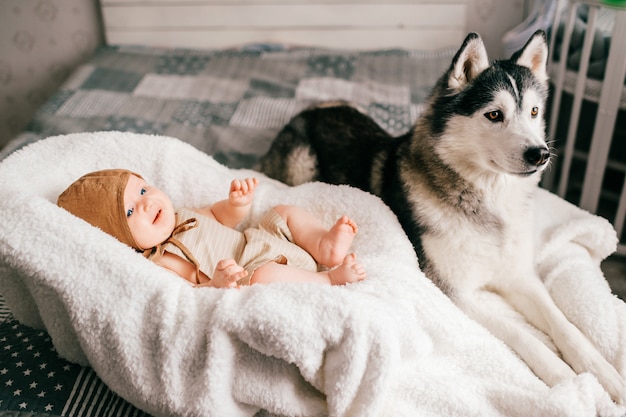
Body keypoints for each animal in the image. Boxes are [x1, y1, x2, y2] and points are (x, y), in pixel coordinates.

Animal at [260, 30, 624, 402]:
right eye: (494, 115)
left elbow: (564, 324)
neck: (488, 201)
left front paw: (603, 372)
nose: (540, 154)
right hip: (301, 166)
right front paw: (563, 376)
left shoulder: (519, 276)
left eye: (534, 111)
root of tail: (311, 109)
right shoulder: (454, 293)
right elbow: (522, 334)